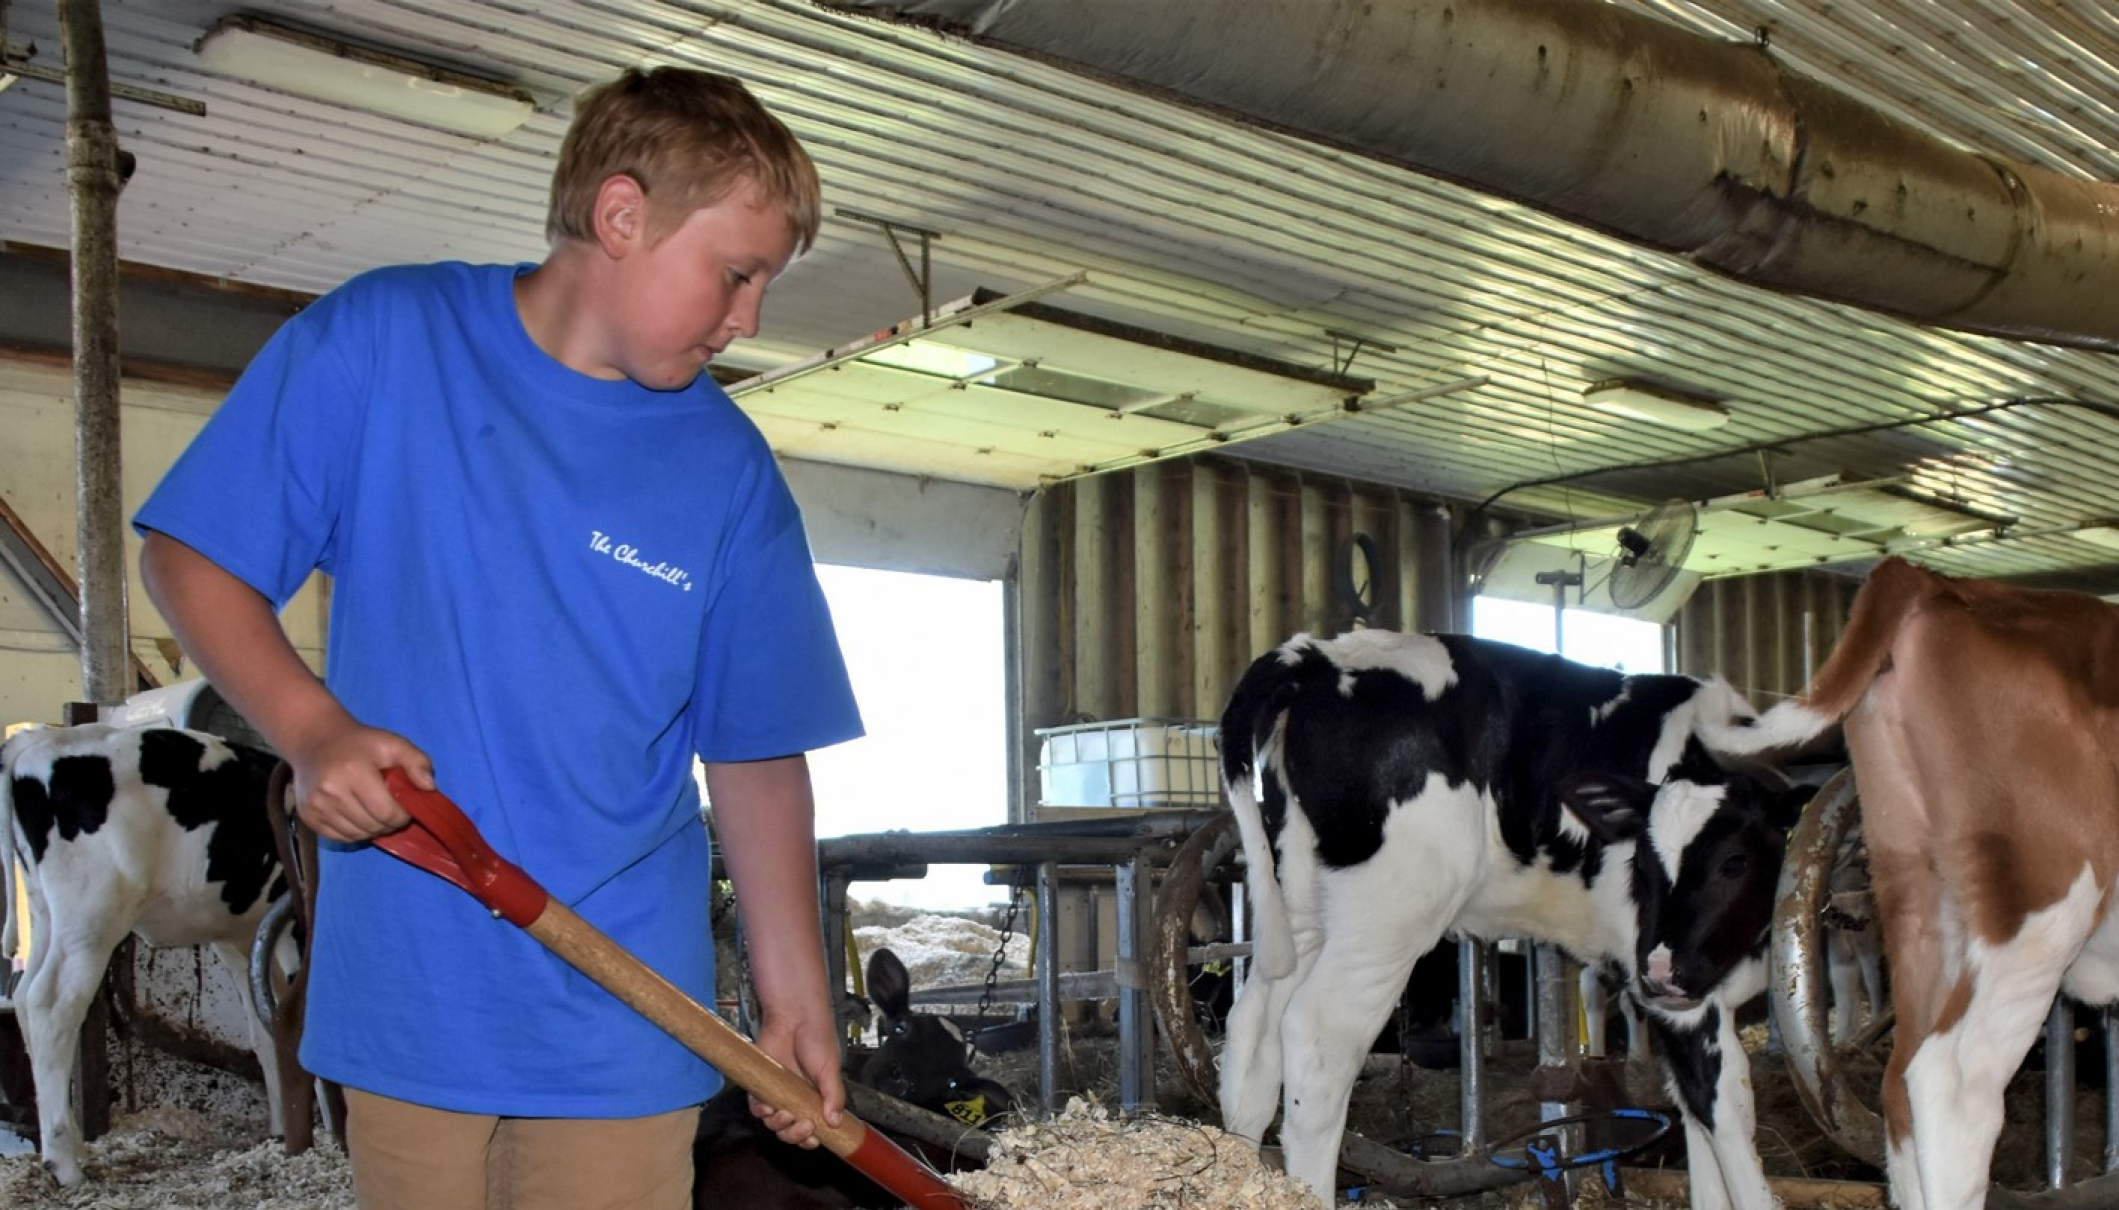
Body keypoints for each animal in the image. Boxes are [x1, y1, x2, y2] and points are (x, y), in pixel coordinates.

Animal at [2, 724, 292, 1186]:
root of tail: (40, 741)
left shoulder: (240, 938)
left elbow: (268, 1030)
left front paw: (284, 1130)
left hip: (48, 915)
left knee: (25, 994)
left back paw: (73, 1144)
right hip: (91, 918)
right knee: (51, 1004)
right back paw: (64, 1163)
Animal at [1229, 631, 1805, 1210]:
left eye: (1735, 862)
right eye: (1641, 865)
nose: (1661, 971)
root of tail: (1319, 655)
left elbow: (1696, 1121)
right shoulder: (1679, 991)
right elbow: (1726, 1111)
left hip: (1302, 902)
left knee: (1252, 1036)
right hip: (1390, 914)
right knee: (1318, 1040)